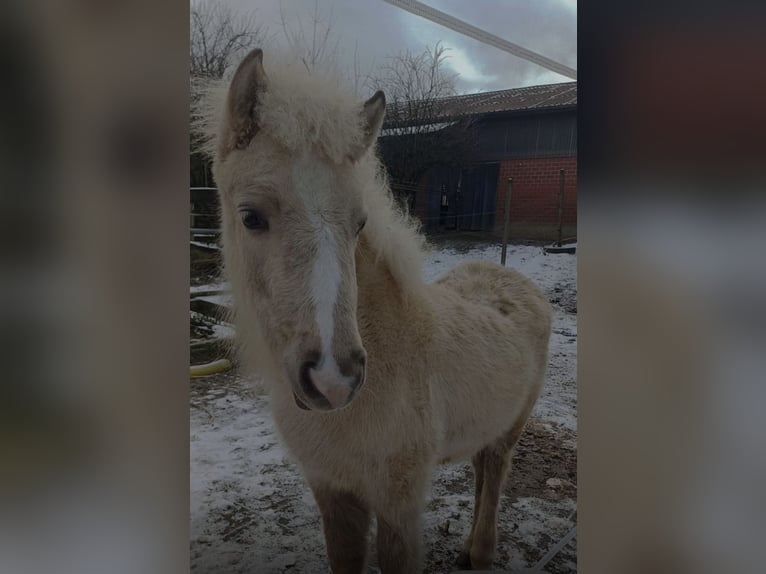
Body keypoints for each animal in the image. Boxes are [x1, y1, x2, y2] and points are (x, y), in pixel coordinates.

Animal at [197, 48, 552, 572]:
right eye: (250, 217)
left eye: (359, 223)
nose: (333, 379)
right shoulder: (332, 493)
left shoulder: (398, 503)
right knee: (480, 468)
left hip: (511, 428)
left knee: (495, 471)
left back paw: (481, 551)